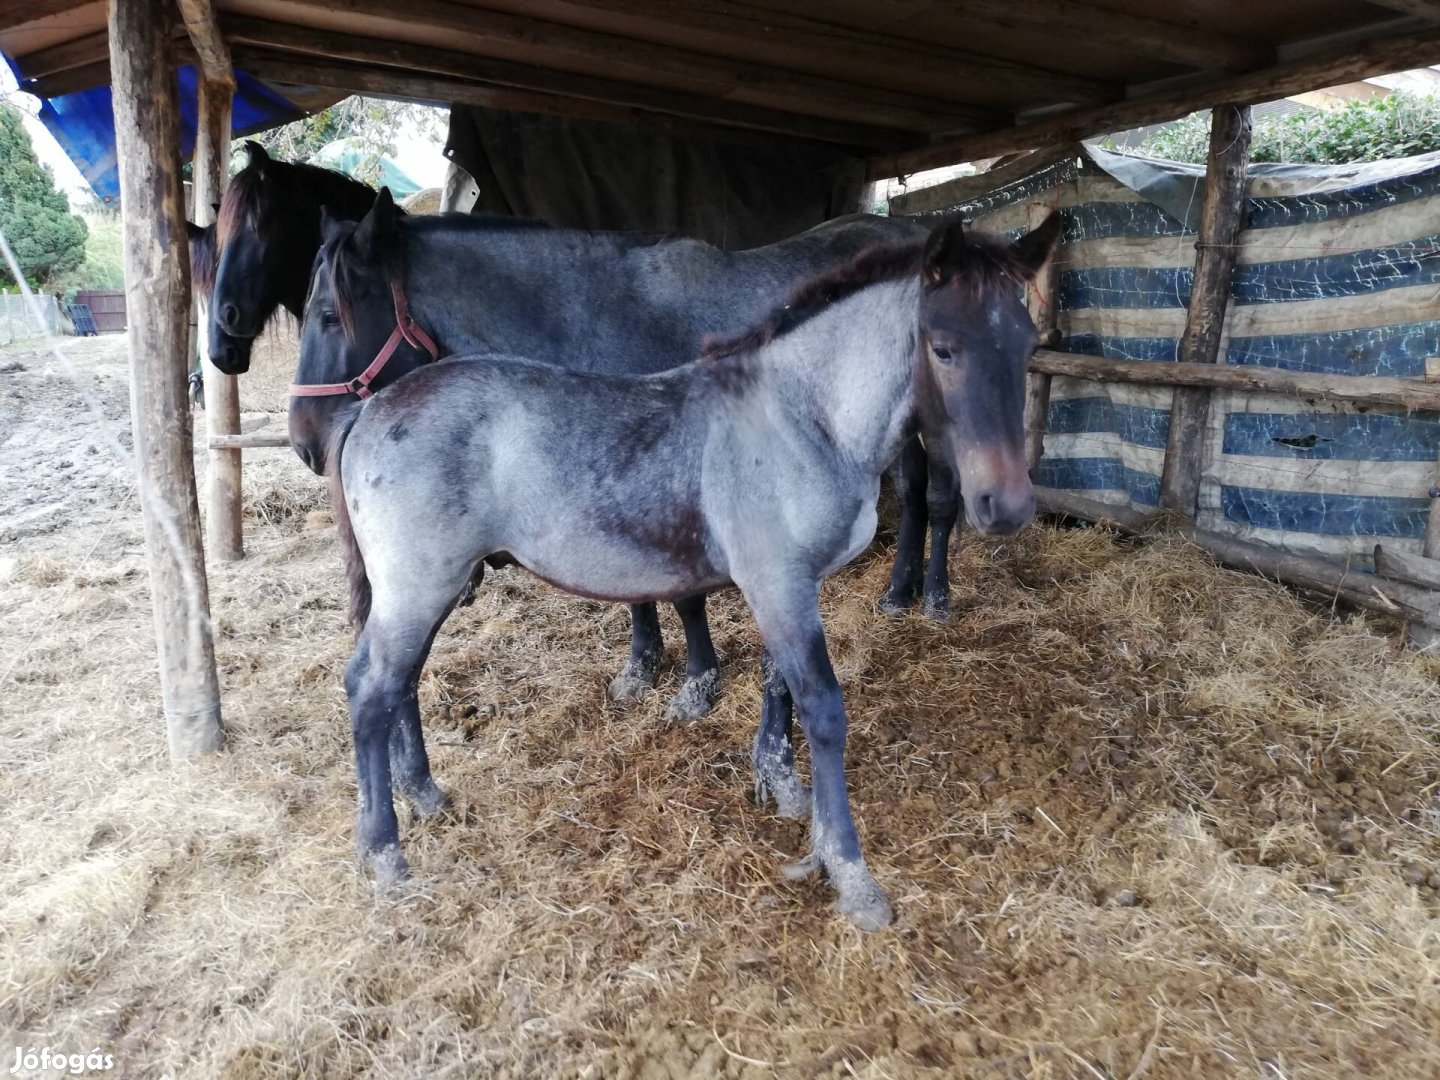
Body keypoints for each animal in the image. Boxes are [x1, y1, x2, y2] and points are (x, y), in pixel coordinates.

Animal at [303, 208, 1065, 933]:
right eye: (944, 347)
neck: (797, 413)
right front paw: (849, 873)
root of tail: (369, 409)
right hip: (418, 585)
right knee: (370, 685)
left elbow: (778, 684)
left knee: (399, 680)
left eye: (1029, 346)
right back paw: (385, 853)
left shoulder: (788, 584)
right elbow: (822, 709)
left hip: (423, 587)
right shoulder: (779, 584)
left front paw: (782, 789)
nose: (1007, 505)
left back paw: (425, 796)